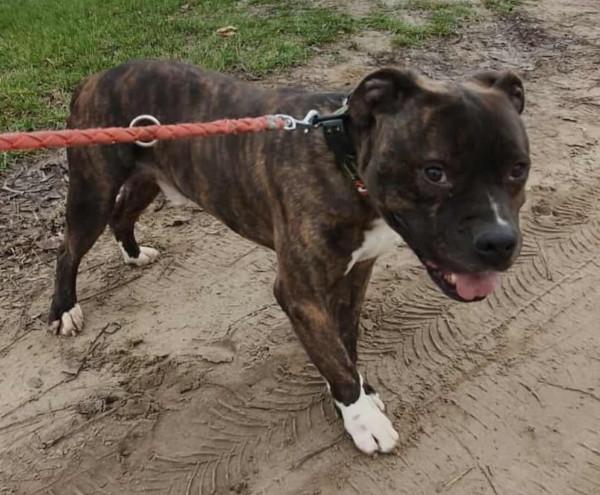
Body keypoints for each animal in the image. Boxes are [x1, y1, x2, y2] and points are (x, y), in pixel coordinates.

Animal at [48, 60, 530, 454]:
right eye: (434, 172)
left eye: (518, 169)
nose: (499, 242)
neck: (345, 162)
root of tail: (93, 78)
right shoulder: (300, 292)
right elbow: (333, 355)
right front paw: (362, 419)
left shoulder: (357, 274)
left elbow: (343, 342)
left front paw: (356, 394)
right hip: (92, 191)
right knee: (68, 249)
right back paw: (63, 309)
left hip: (150, 178)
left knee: (122, 216)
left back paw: (133, 254)